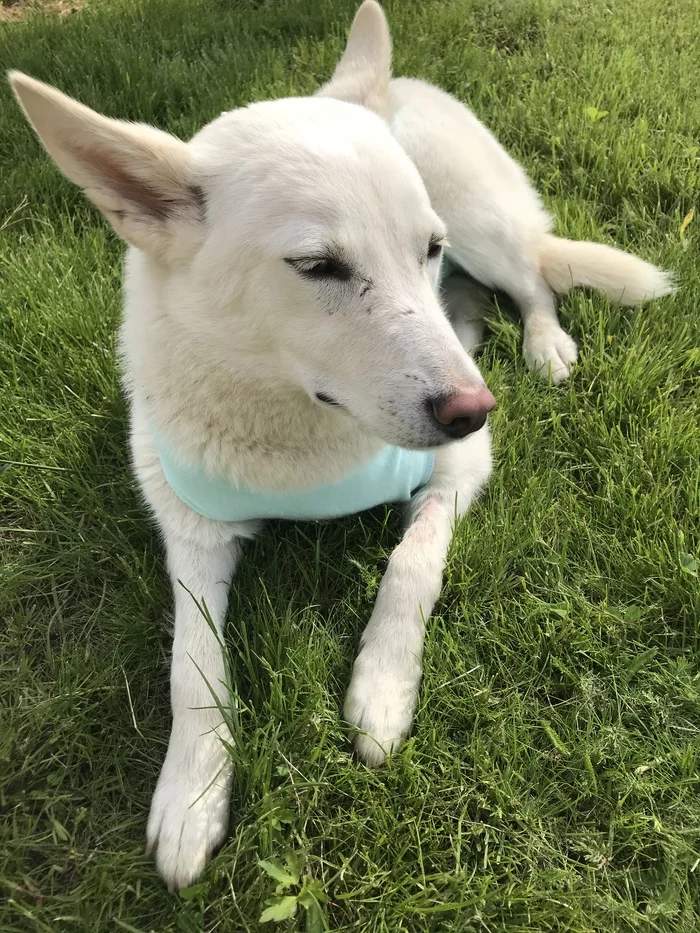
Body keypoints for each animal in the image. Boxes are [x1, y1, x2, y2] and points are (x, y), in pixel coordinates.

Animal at [9, 0, 672, 888]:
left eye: (424, 250)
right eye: (318, 266)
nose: (475, 408)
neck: (297, 429)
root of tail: (403, 82)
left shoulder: (458, 469)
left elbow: (411, 565)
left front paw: (383, 691)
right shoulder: (190, 533)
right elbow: (192, 663)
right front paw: (192, 793)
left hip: (483, 231)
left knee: (534, 277)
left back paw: (545, 344)